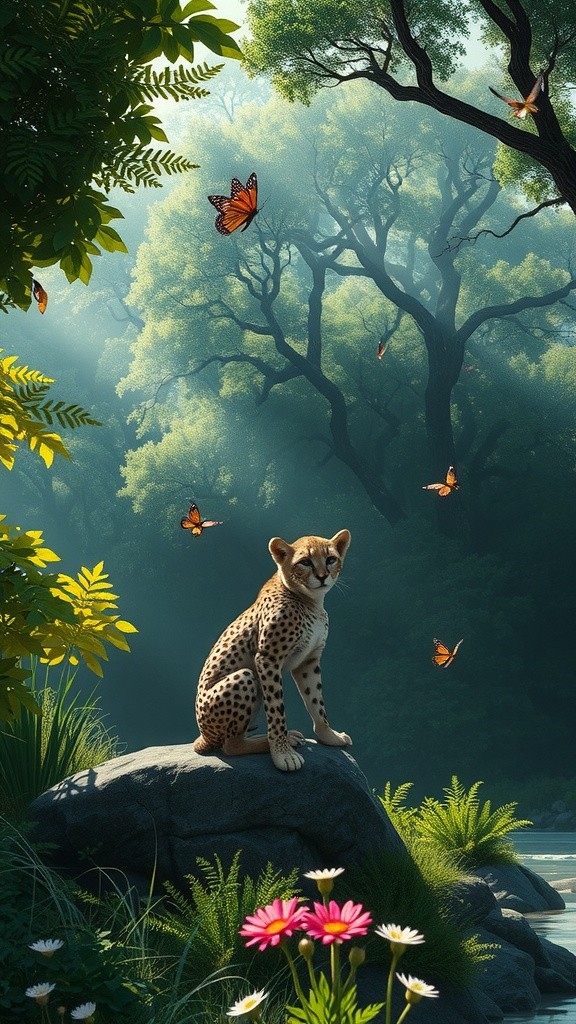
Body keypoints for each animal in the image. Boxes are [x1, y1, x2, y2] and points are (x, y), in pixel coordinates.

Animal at [193, 529, 352, 772]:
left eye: (330, 559)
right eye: (305, 562)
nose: (323, 576)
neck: (309, 601)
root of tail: (202, 735)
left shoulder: (308, 661)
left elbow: (317, 702)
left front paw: (329, 736)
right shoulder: (268, 658)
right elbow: (277, 711)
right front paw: (282, 753)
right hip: (245, 677)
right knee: (230, 746)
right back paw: (272, 742)